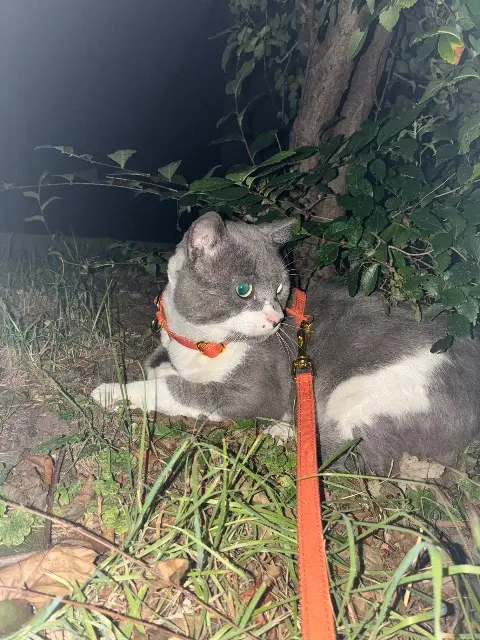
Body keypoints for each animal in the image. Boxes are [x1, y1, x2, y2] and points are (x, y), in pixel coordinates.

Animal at [91, 212, 480, 474]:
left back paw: (285, 431)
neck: (204, 343)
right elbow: (155, 364)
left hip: (368, 393)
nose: (276, 318)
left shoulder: (258, 390)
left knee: (362, 458)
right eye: (243, 289)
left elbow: (177, 389)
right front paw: (160, 369)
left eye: (279, 288)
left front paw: (111, 392)